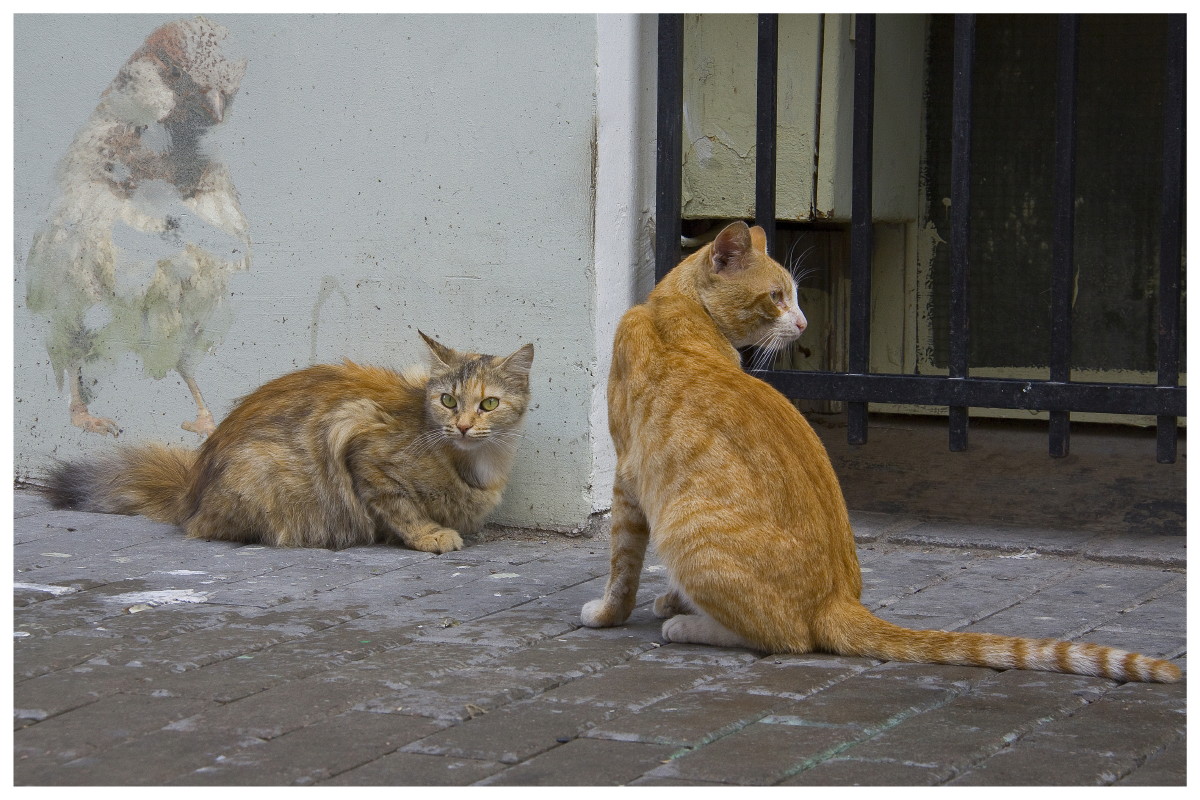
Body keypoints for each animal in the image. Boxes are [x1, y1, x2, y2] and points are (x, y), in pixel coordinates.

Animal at [45, 331, 535, 551]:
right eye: (448, 400)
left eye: (488, 404)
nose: (464, 426)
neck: (479, 462)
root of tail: (191, 488)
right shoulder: (357, 436)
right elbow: (401, 506)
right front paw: (430, 534)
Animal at [580, 221, 1180, 686]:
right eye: (778, 297)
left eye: (793, 297)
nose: (804, 323)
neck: (675, 315)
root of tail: (839, 600)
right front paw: (671, 597)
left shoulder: (627, 477)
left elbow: (621, 565)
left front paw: (610, 614)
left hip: (684, 526)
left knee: (783, 638)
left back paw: (689, 626)